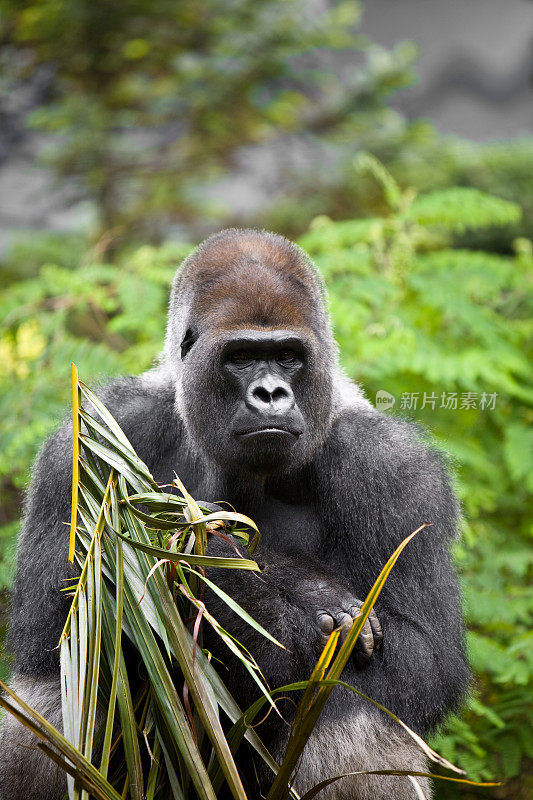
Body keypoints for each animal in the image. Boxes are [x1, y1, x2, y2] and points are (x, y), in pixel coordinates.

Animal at [0, 227, 468, 800]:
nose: (270, 393)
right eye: (241, 356)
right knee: (47, 703)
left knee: (351, 713)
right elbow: (53, 628)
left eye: (288, 356)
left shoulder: (395, 470)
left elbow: (422, 658)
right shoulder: (80, 445)